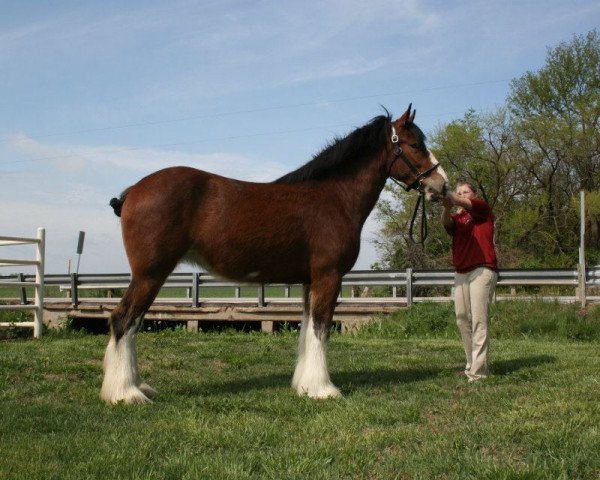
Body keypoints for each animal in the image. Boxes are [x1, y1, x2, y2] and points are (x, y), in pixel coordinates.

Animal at [101, 104, 448, 402]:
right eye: (414, 144)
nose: (441, 185)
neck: (334, 197)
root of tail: (133, 192)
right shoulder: (329, 276)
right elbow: (321, 328)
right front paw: (324, 389)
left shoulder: (310, 281)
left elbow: (308, 328)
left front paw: (306, 385)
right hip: (150, 274)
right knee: (123, 320)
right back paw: (125, 393)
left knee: (133, 323)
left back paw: (138, 386)